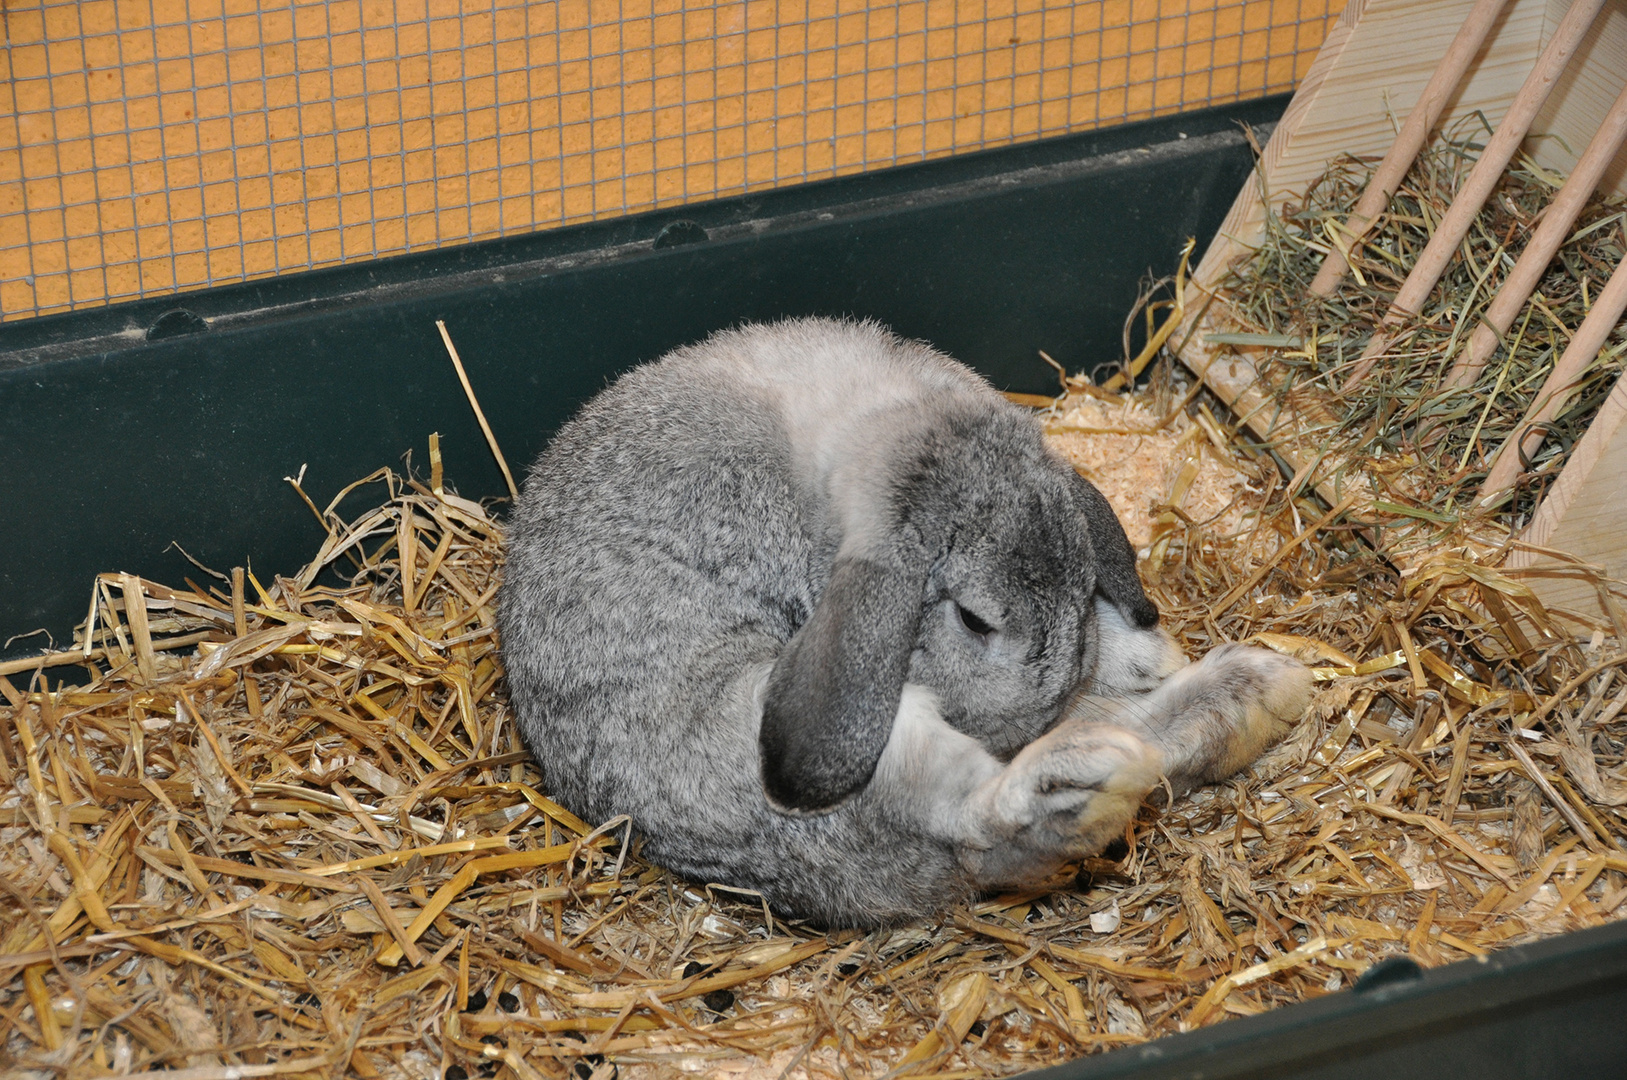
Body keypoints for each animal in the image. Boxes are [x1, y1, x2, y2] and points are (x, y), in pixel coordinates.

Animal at [494, 313, 1308, 930]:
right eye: (973, 618)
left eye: (1083, 592)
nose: (1013, 727)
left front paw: (1139, 652)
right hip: (832, 738)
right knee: (982, 816)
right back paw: (1093, 774)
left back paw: (1250, 695)